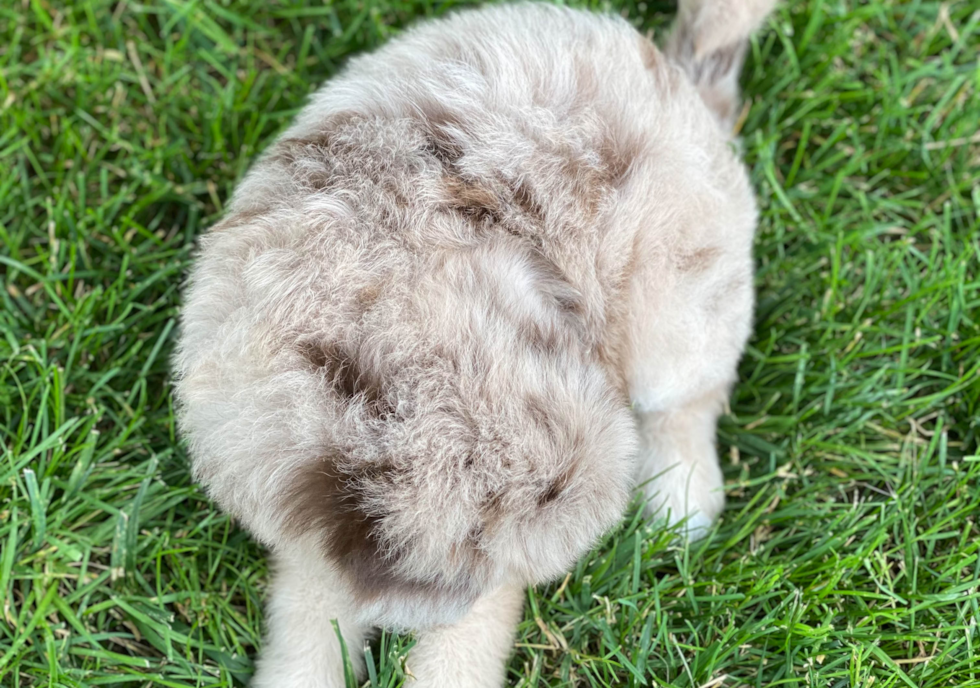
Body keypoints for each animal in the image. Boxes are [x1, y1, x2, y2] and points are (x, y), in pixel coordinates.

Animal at [174, 2, 772, 684]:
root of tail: (684, 81)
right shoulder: (313, 536)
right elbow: (307, 633)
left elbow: (461, 644)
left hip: (678, 312)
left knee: (690, 398)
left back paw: (682, 505)